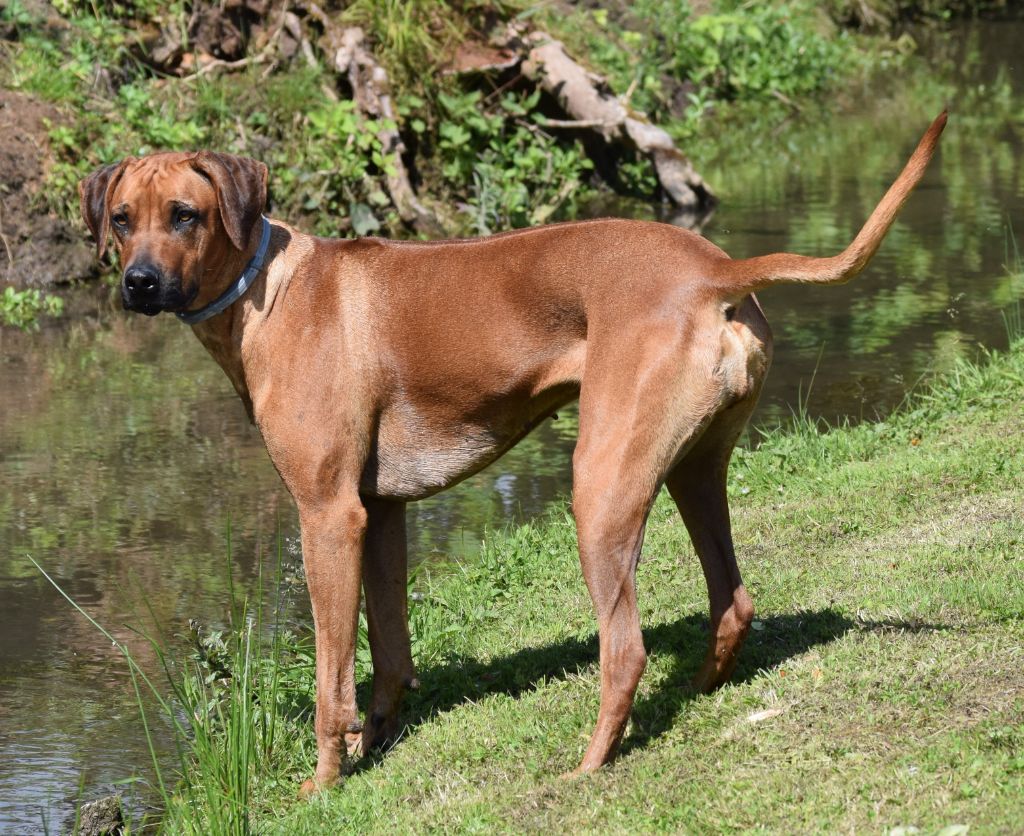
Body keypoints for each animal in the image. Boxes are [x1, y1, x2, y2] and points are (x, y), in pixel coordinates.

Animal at [81, 112, 950, 795]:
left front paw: (324, 781)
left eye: (185, 215)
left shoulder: (328, 516)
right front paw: (380, 741)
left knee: (625, 651)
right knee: (731, 601)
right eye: (122, 218)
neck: (270, 288)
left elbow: (333, 681)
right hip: (694, 470)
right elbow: (390, 650)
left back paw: (590, 763)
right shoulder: (381, 512)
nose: (139, 283)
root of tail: (716, 269)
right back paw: (698, 693)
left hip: (599, 488)